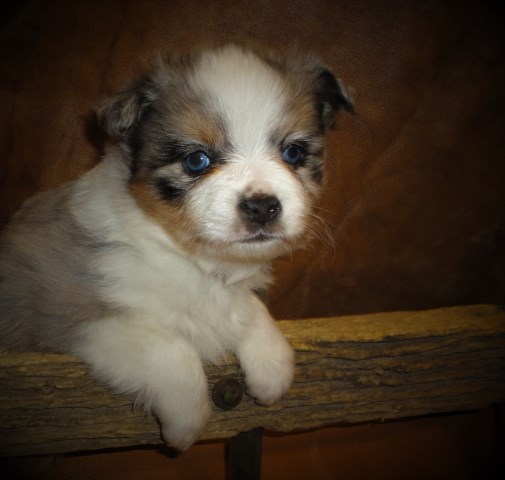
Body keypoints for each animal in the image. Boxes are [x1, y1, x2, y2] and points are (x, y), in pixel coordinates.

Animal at [0, 45, 352, 450]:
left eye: (293, 153)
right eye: (197, 160)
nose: (262, 206)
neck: (187, 258)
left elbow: (248, 310)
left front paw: (274, 364)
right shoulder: (68, 311)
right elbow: (169, 350)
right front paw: (186, 423)